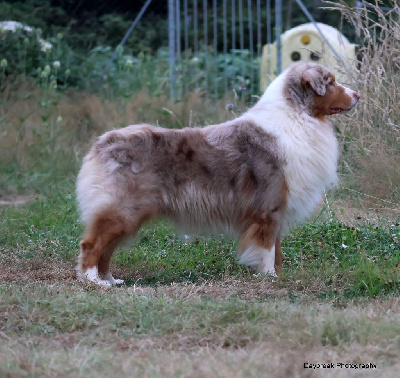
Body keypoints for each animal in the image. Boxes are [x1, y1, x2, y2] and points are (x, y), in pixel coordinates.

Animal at [75, 62, 360, 286]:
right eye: (331, 82)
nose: (358, 94)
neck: (298, 117)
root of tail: (102, 142)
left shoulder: (276, 209)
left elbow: (277, 250)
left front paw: (278, 277)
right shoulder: (267, 209)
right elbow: (267, 249)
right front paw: (268, 277)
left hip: (128, 215)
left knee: (107, 248)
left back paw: (110, 280)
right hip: (123, 209)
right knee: (91, 244)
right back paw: (93, 281)